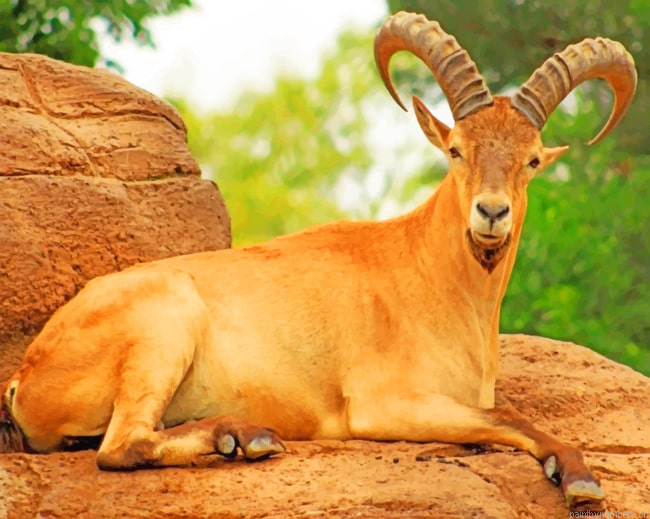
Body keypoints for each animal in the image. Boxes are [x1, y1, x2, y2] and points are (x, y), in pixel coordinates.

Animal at [0, 11, 636, 513]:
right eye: (456, 150)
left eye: (532, 160)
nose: (491, 213)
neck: (434, 280)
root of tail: (25, 374)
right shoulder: (384, 405)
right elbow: (512, 419)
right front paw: (579, 478)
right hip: (163, 324)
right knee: (121, 446)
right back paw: (246, 438)